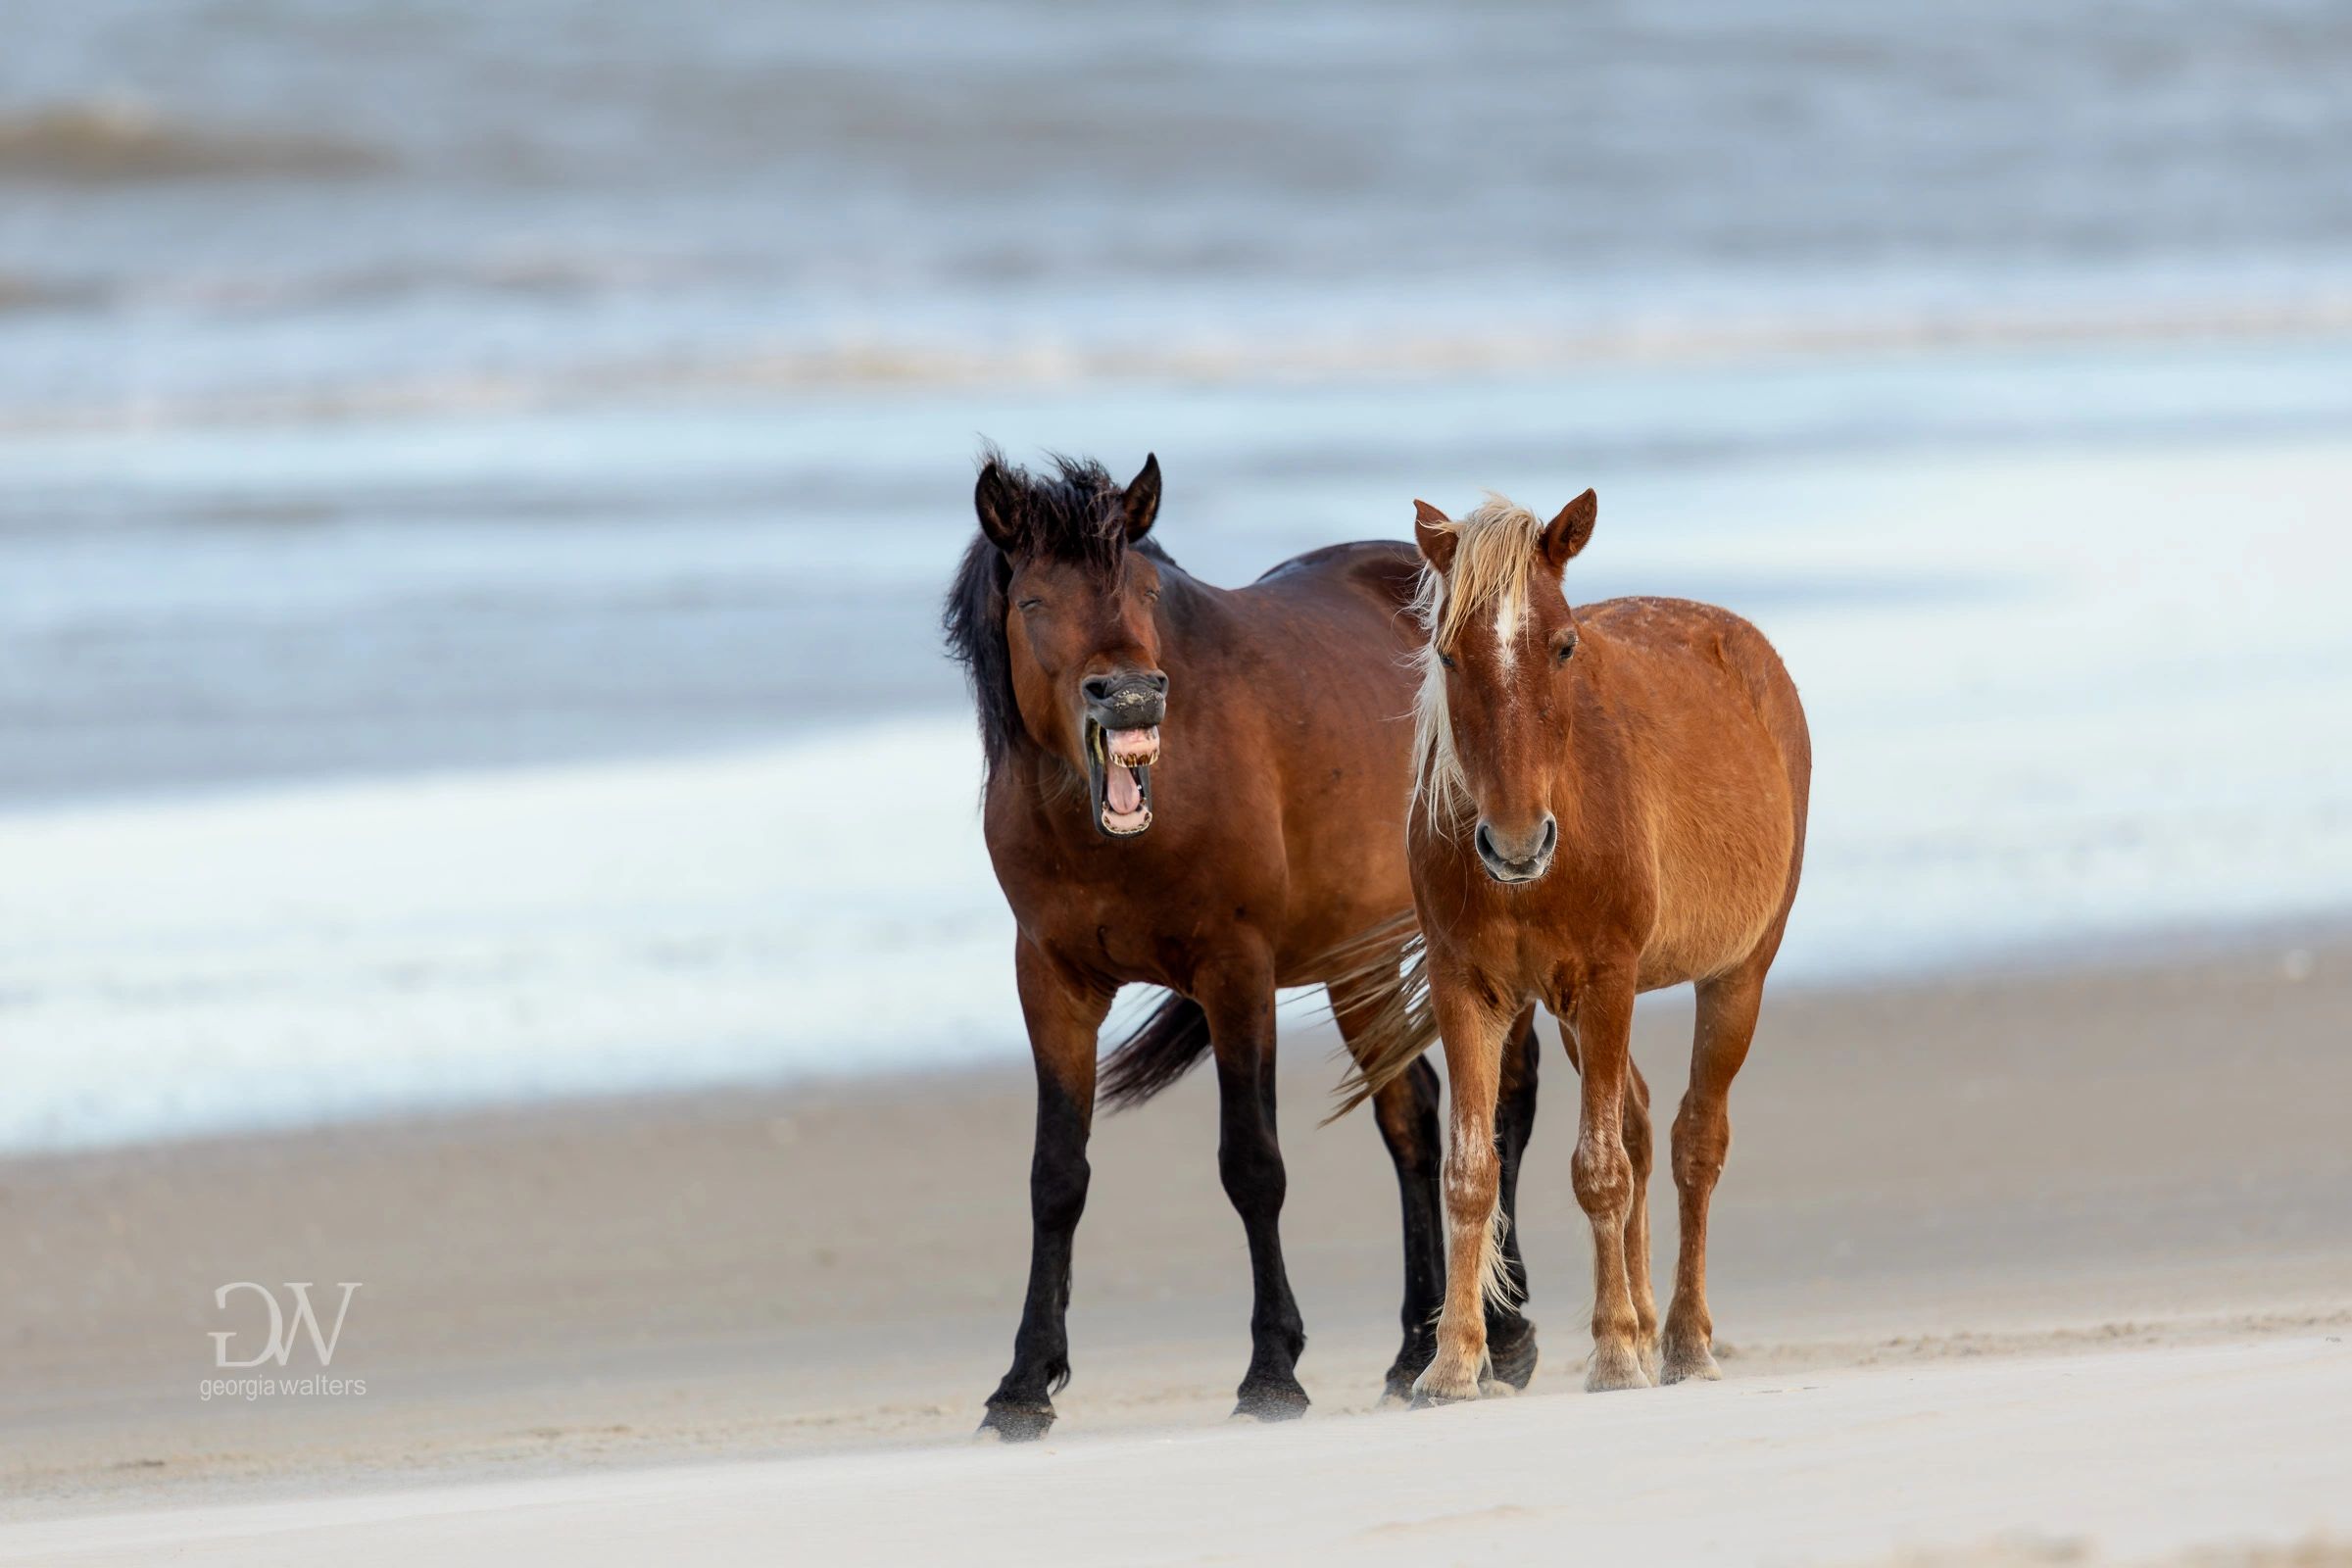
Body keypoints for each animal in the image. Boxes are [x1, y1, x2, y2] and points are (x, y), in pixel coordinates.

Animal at [942, 451, 1548, 1440]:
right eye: (1032, 599)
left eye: (1146, 589)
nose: (1132, 695)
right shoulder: (1052, 981)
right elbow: (1056, 1176)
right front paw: (1024, 1385)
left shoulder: (1236, 971)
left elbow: (1252, 1165)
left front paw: (1271, 1373)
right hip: (1360, 965)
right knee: (1413, 1119)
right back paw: (1414, 1350)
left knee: (1503, 1108)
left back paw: (1507, 1332)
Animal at [1350, 489, 1810, 1402]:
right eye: (1446, 654)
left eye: (1563, 645)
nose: (1516, 844)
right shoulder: (1470, 990)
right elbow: (1471, 1174)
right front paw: (1453, 1365)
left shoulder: (1606, 981)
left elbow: (1598, 1171)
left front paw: (1613, 1357)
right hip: (1571, 1013)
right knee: (1639, 1125)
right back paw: (1644, 1321)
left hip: (1735, 976)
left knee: (1694, 1144)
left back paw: (1683, 1341)